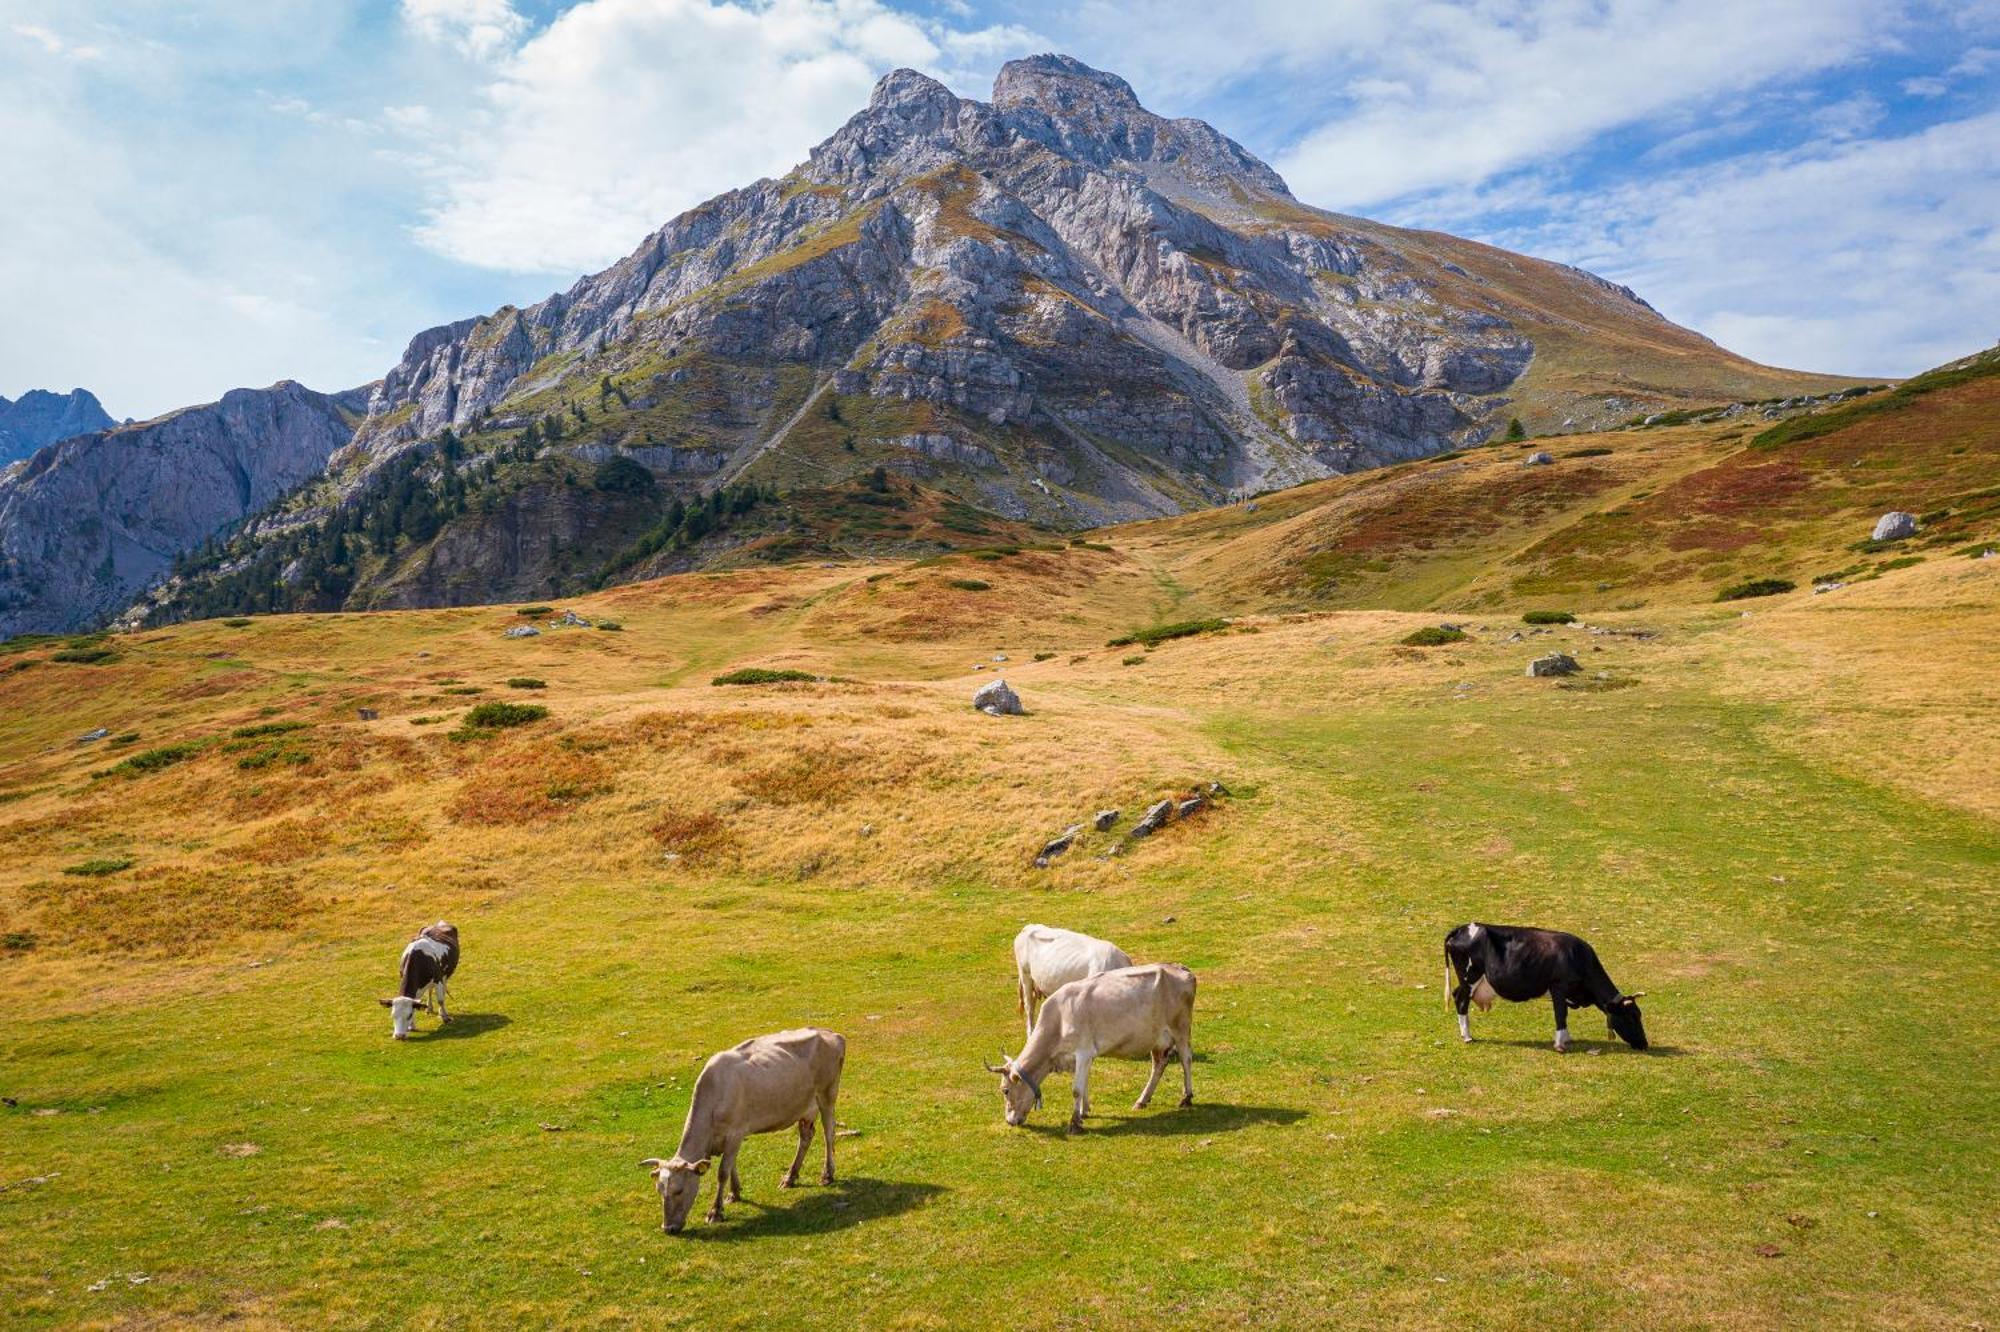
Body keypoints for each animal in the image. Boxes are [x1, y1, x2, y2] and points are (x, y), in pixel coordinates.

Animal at [640, 1020, 844, 1232]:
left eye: (679, 1191)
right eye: (659, 1190)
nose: (668, 1228)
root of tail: (829, 1032)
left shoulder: (735, 1133)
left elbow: (723, 1172)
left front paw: (715, 1212)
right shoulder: (727, 1139)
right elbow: (732, 1166)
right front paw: (734, 1193)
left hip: (827, 1094)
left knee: (829, 1133)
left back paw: (827, 1174)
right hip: (804, 1106)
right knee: (806, 1137)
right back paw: (790, 1177)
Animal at [980, 956, 1184, 1128]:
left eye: (1005, 1090)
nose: (1009, 1121)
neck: (1059, 1019)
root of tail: (1180, 968)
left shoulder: (1084, 1052)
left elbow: (1077, 1089)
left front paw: (1075, 1122)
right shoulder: (1081, 1058)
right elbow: (1084, 1083)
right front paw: (1084, 1111)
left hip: (1180, 1028)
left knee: (1186, 1058)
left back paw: (1186, 1098)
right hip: (1158, 1040)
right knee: (1159, 1065)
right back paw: (1142, 1100)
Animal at [1448, 920, 1648, 1040]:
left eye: (1639, 1015)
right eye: (1630, 1018)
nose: (1644, 1044)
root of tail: (1463, 927)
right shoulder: (1558, 987)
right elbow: (1560, 1014)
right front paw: (1561, 1042)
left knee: (1456, 994)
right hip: (1470, 976)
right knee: (1461, 999)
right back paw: (1467, 1037)